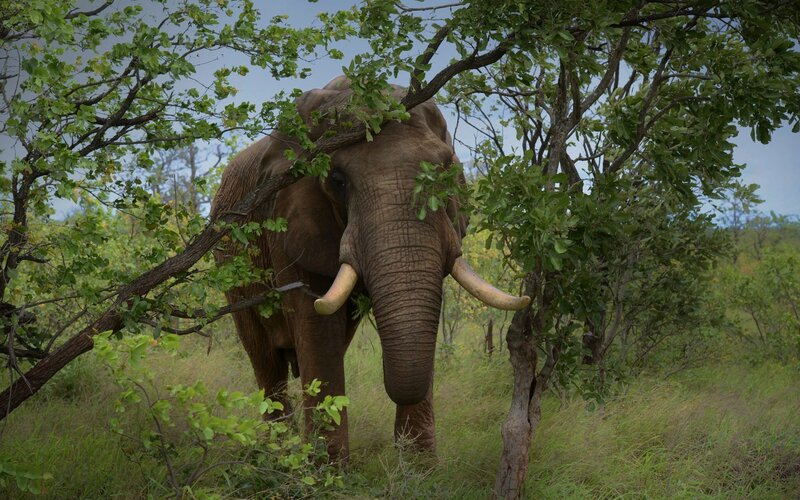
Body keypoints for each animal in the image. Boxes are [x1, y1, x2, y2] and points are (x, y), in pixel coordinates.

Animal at [210, 76, 529, 461]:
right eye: (337, 180)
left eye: (445, 171)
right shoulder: (285, 221)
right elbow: (315, 321)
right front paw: (326, 469)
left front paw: (419, 470)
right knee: (266, 362)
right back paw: (280, 453)